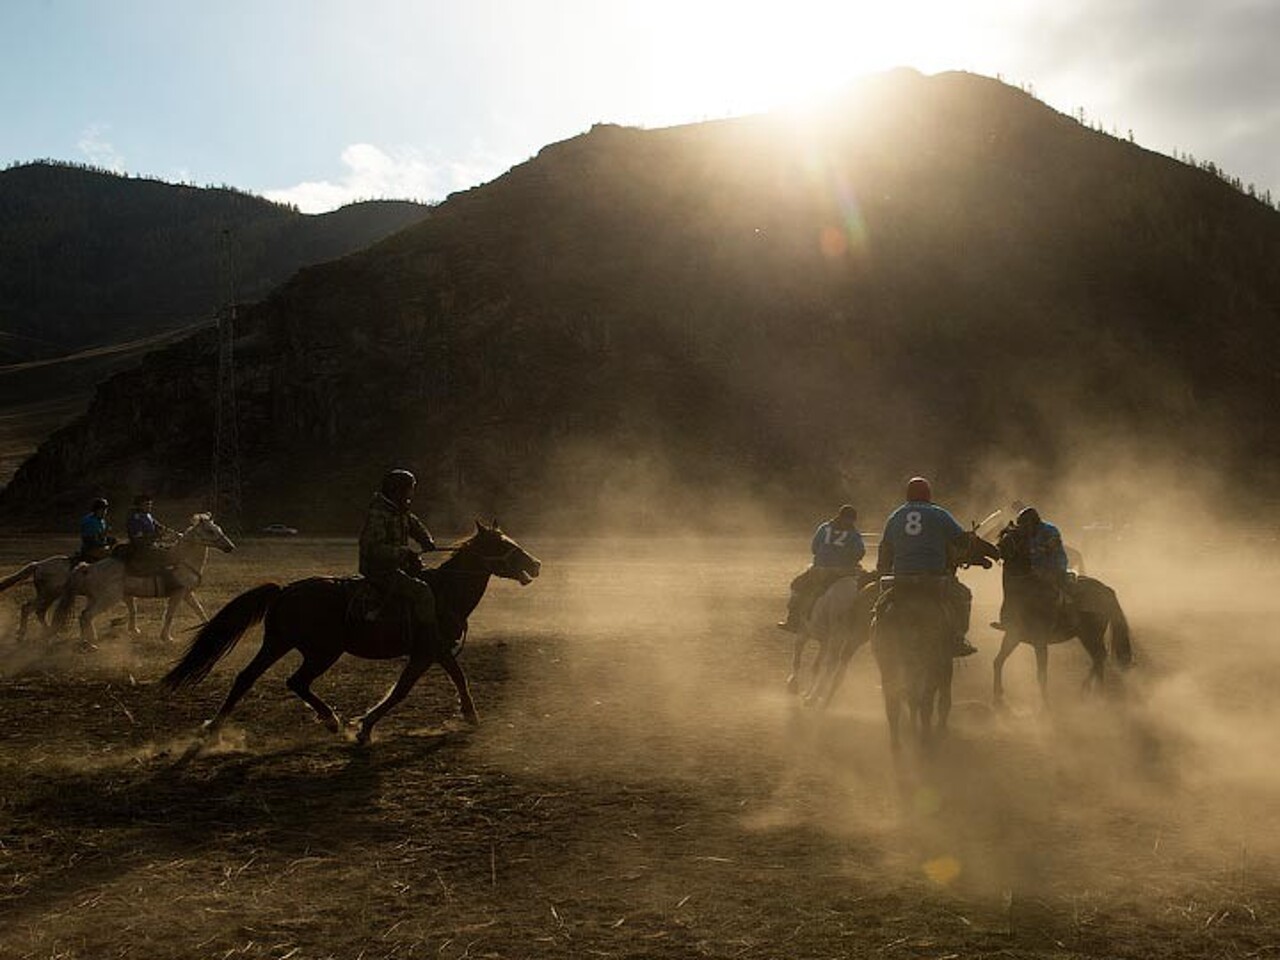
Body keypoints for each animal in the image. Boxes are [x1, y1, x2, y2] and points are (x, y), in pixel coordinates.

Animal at [51, 514, 238, 650]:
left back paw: (88, 640)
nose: (230, 547)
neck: (182, 560)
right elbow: (169, 615)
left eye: (218, 529)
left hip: (96, 598)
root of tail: (88, 568)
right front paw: (167, 638)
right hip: (108, 599)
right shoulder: (177, 594)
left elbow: (200, 611)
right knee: (87, 615)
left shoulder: (187, 593)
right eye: (210, 531)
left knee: (84, 615)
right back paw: (89, 644)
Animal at [161, 522, 540, 747]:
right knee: (295, 681)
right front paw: (366, 726)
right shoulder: (427, 652)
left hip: (279, 644)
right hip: (322, 652)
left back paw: (214, 727)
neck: (443, 591)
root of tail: (285, 590)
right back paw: (331, 720)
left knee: (247, 678)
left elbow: (454, 678)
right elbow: (405, 689)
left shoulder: (436, 652)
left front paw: (469, 714)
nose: (535, 564)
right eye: (502, 542)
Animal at [988, 527, 1131, 706]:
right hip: (1085, 635)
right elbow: (998, 661)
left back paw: (1097, 693)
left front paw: (1045, 704)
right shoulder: (1012, 635)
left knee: (1099, 658)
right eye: (1003, 534)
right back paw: (1088, 689)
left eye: (1017, 537)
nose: (998, 548)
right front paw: (997, 695)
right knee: (1098, 658)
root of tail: (1106, 589)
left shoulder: (1040, 641)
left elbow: (1041, 674)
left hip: (1091, 635)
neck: (1025, 592)